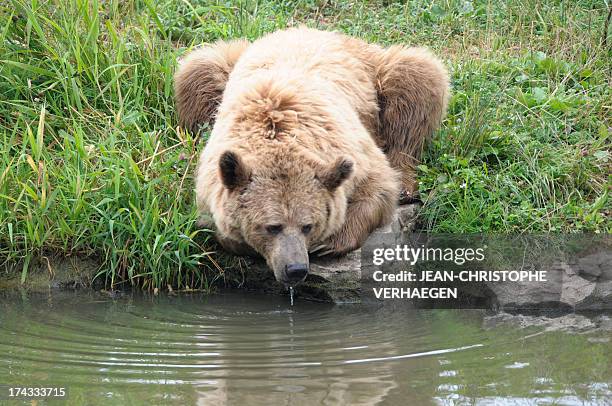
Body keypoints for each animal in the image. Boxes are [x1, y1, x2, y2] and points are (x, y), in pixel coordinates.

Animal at [173, 27, 450, 288]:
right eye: (272, 226)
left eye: (308, 226)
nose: (295, 269)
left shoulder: (349, 145)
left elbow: (379, 186)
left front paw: (330, 243)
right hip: (220, 68)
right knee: (197, 71)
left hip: (376, 74)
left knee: (415, 82)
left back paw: (405, 185)